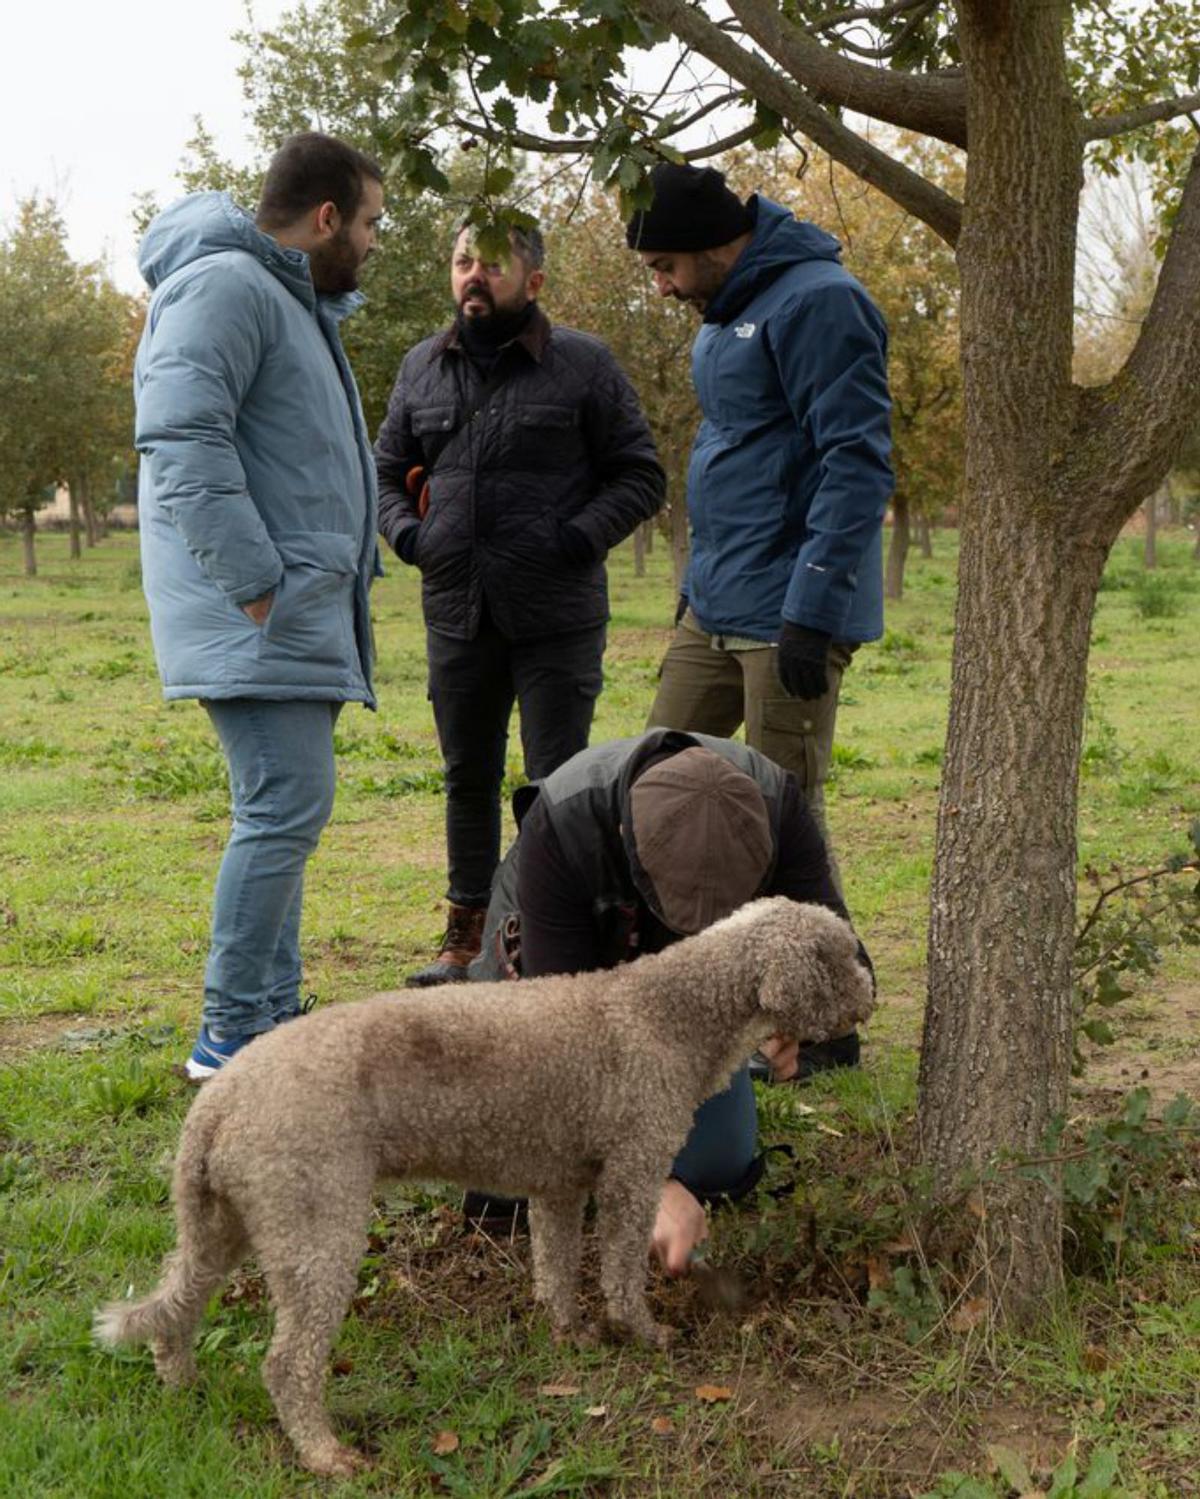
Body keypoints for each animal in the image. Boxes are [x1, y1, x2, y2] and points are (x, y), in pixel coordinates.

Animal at [95, 899, 868, 1475]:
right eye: (839, 955)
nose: (871, 997)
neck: (665, 1012)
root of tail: (217, 1099)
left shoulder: (561, 1186)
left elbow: (556, 1268)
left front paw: (571, 1335)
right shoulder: (632, 1172)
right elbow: (620, 1270)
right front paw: (644, 1333)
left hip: (225, 1220)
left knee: (177, 1309)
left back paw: (184, 1388)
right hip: (317, 1224)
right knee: (288, 1362)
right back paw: (325, 1455)